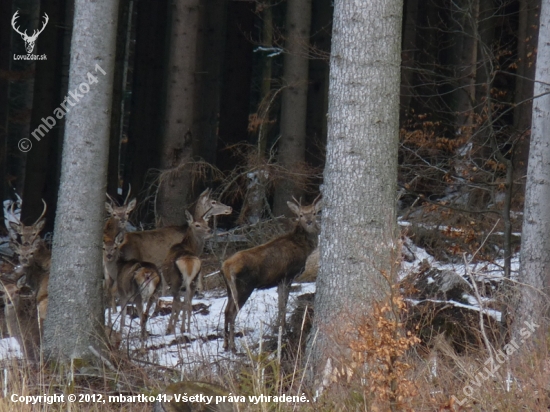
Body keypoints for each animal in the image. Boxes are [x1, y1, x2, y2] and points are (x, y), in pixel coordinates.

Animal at [222, 195, 324, 350]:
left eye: (314, 212)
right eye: (300, 215)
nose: (309, 221)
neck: (303, 247)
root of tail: (226, 267)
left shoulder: (280, 279)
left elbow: (280, 302)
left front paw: (278, 327)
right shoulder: (288, 275)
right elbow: (284, 303)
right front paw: (284, 328)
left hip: (230, 289)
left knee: (226, 311)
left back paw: (225, 344)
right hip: (244, 287)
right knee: (232, 313)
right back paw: (233, 346)